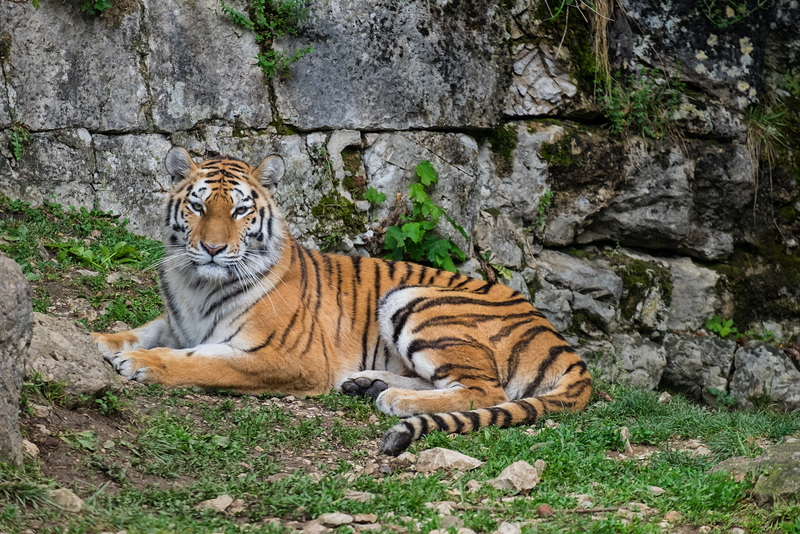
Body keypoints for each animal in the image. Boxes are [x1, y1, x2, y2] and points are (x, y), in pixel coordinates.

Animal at [94, 147, 592, 456]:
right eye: (198, 207)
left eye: (239, 210)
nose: (213, 249)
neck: (197, 283)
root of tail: (561, 341)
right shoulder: (179, 320)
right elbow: (147, 329)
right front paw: (103, 339)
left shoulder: (286, 357)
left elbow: (204, 362)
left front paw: (143, 363)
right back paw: (367, 383)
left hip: (415, 301)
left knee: (485, 389)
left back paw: (395, 399)